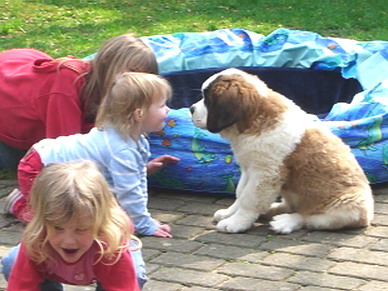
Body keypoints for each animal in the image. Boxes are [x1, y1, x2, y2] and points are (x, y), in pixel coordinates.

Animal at [189, 68, 374, 235]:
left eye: (208, 99)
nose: (190, 109)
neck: (253, 119)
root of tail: (368, 215)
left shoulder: (265, 174)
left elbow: (249, 199)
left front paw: (236, 222)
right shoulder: (249, 169)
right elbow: (240, 193)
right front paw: (230, 213)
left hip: (348, 206)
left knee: (309, 217)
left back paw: (285, 221)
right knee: (291, 207)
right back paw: (271, 210)